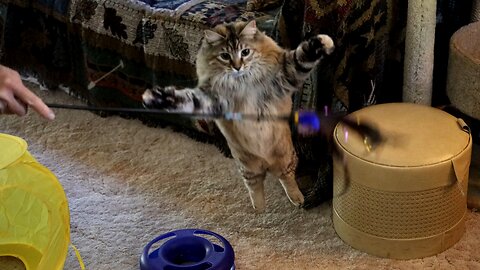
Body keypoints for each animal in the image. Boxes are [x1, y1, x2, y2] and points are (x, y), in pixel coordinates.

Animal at [142, 20, 334, 212]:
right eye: (225, 56)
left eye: (245, 52)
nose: (237, 67)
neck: (241, 82)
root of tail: (265, 163)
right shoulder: (212, 99)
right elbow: (187, 99)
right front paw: (158, 98)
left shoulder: (283, 77)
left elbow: (300, 57)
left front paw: (323, 42)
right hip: (247, 166)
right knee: (255, 186)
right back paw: (259, 208)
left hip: (285, 158)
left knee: (287, 179)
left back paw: (298, 199)